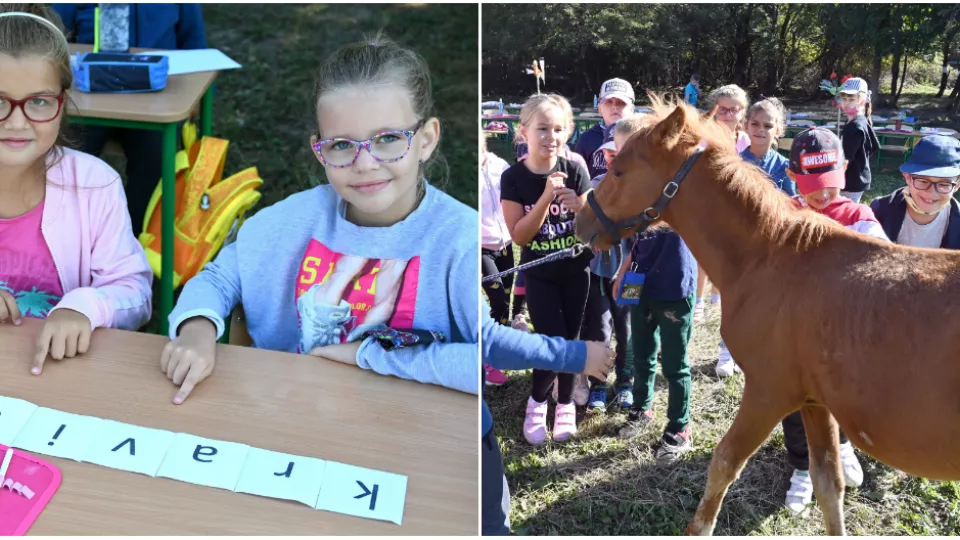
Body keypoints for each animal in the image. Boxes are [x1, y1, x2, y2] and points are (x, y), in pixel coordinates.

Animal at [576, 96, 960, 536]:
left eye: (620, 170)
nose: (581, 222)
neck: (773, 254)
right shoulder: (814, 402)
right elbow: (828, 484)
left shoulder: (768, 392)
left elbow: (724, 464)